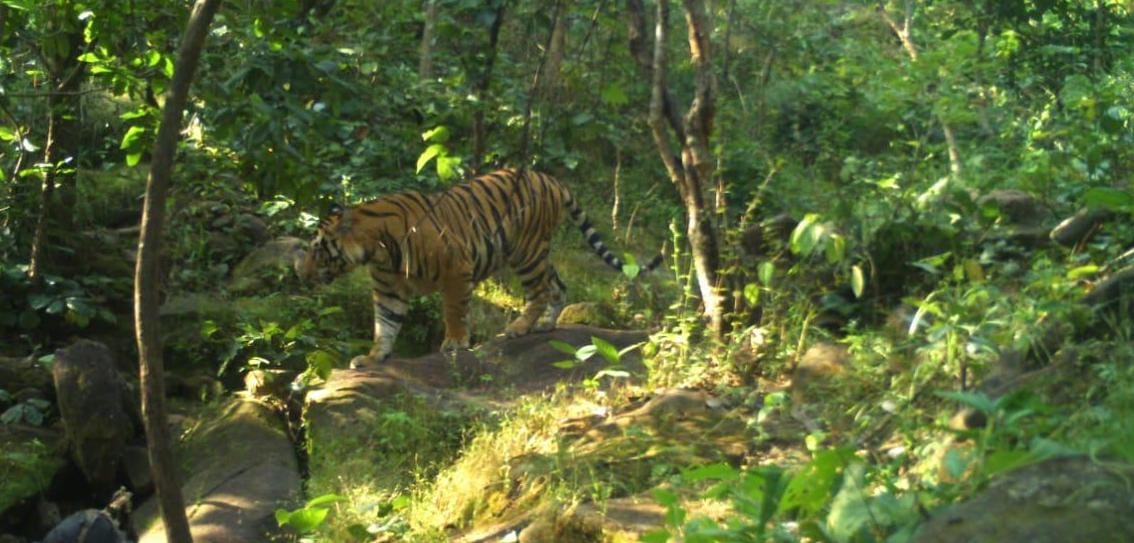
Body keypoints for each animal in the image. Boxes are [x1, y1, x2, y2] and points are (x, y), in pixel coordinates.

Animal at [297, 168, 662, 365]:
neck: (377, 250)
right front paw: (374, 357)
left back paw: (519, 327)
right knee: (557, 285)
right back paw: (545, 325)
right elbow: (384, 325)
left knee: (540, 290)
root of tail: (550, 178)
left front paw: (455, 343)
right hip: (535, 252)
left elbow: (454, 311)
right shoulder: (388, 290)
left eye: (318, 249)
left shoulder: (456, 271)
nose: (301, 274)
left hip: (526, 251)